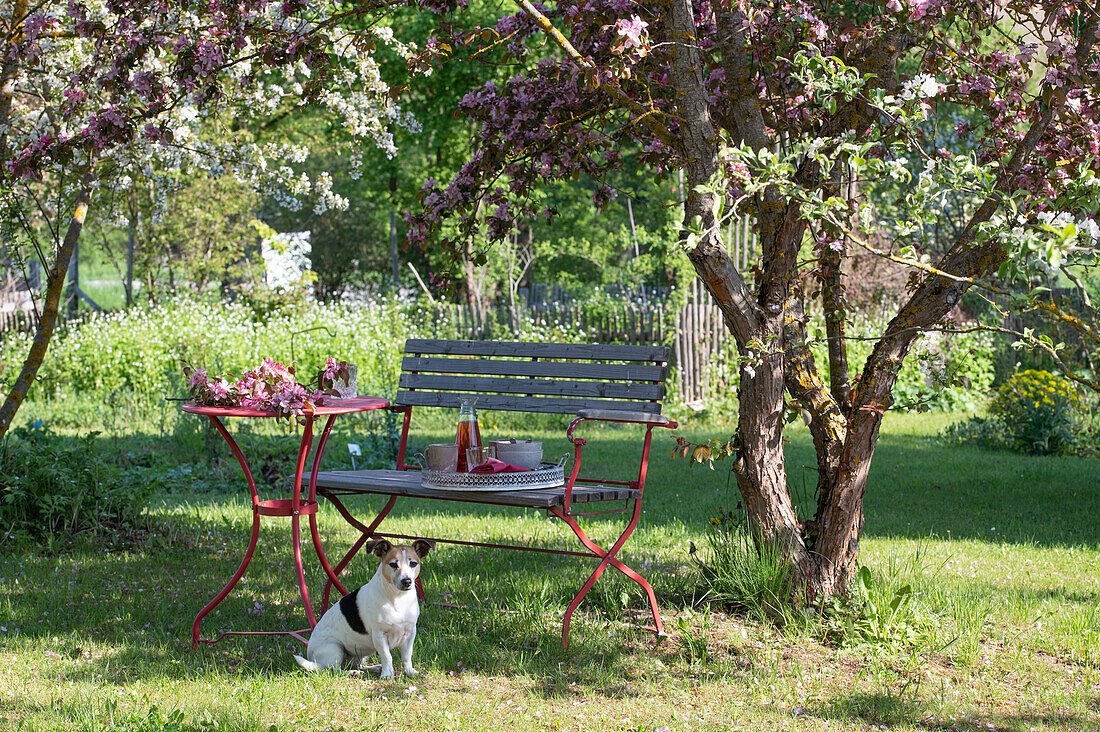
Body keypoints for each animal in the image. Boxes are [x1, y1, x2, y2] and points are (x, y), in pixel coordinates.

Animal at [292, 534, 433, 678]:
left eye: (413, 563)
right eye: (393, 564)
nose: (407, 581)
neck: (398, 598)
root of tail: (312, 658)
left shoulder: (410, 634)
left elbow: (406, 656)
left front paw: (410, 672)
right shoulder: (379, 636)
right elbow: (387, 656)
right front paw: (387, 674)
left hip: (360, 653)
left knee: (358, 664)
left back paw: (373, 667)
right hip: (334, 648)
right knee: (334, 670)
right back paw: (351, 672)